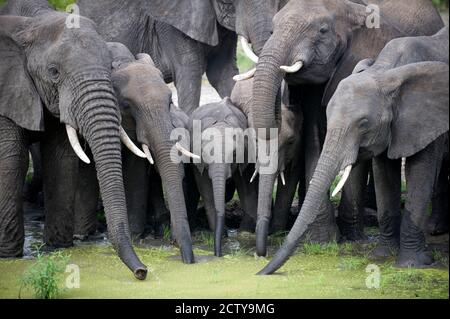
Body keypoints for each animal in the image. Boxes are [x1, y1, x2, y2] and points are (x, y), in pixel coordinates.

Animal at [0, 0, 147, 280]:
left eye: (110, 68)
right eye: (54, 72)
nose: (142, 272)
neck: (32, 24)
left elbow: (61, 160)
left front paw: (58, 249)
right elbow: (11, 161)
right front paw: (8, 256)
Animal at [186, 97, 256, 258]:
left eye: (235, 154)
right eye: (205, 153)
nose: (218, 254)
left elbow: (245, 184)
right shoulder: (197, 158)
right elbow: (205, 188)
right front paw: (221, 234)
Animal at [232, 79, 302, 256]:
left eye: (290, 141)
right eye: (255, 140)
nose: (261, 254)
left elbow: (291, 177)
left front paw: (277, 232)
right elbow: (244, 176)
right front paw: (246, 231)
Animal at [243, 0, 442, 248]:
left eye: (322, 31)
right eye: (273, 27)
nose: (261, 251)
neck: (350, 9)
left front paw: (349, 238)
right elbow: (315, 139)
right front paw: (321, 240)